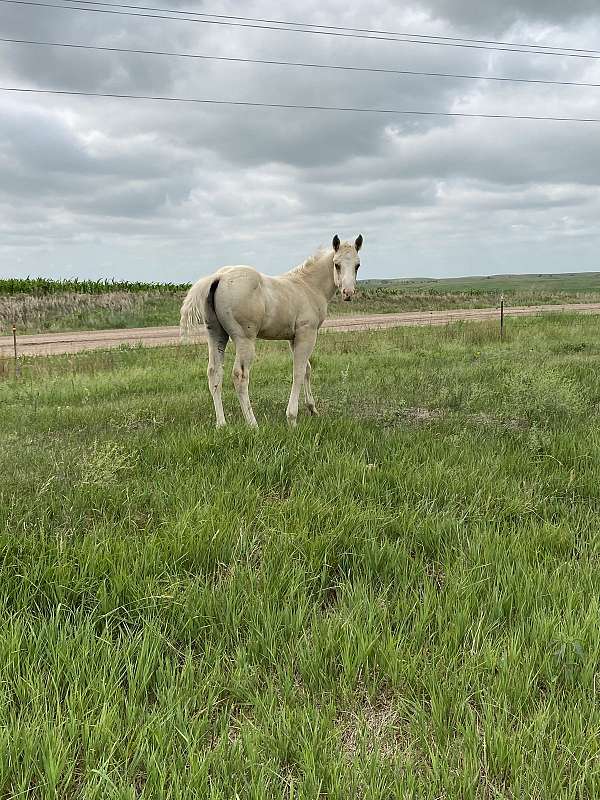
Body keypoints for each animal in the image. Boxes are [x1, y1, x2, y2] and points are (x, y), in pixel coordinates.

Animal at [180, 233, 364, 428]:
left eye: (357, 265)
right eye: (337, 264)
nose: (348, 292)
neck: (308, 287)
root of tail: (219, 276)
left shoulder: (294, 338)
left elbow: (307, 369)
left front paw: (312, 409)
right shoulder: (307, 333)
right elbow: (298, 372)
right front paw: (292, 418)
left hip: (216, 334)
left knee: (214, 373)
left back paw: (221, 424)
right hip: (244, 339)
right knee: (240, 375)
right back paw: (253, 424)